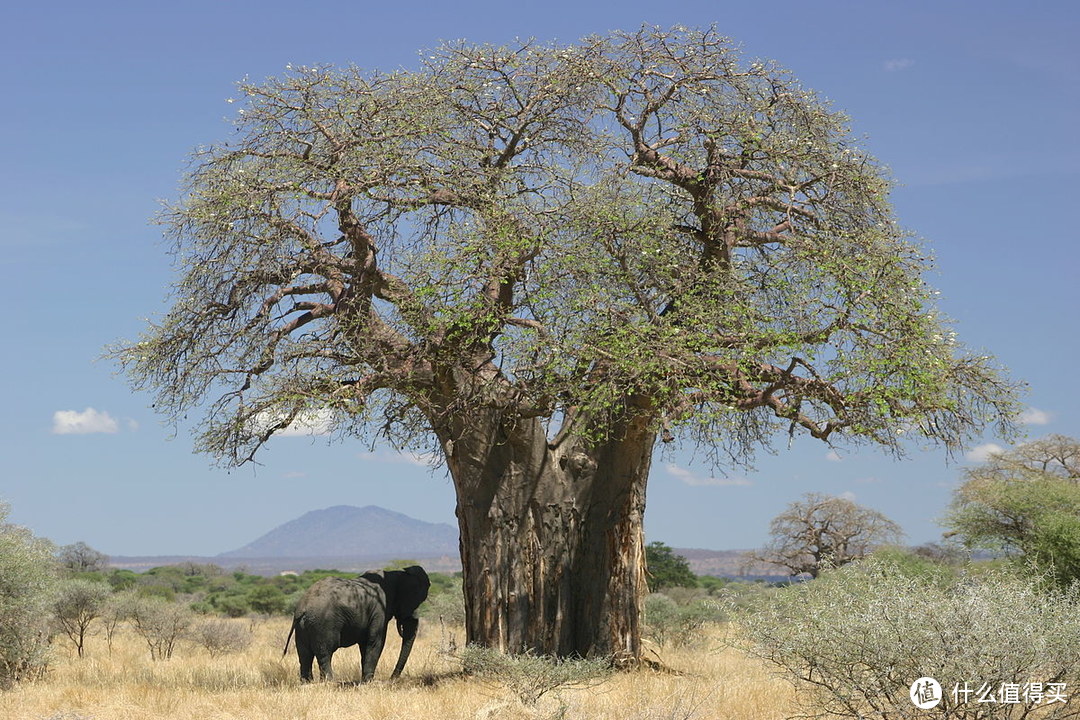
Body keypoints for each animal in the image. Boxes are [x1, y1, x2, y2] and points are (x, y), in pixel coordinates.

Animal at [282, 561, 429, 686]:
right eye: (414, 601)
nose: (391, 679)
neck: (395, 575)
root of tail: (302, 608)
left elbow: (365, 644)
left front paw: (365, 680)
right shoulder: (379, 610)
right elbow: (375, 642)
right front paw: (369, 681)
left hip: (303, 627)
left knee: (304, 654)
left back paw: (307, 683)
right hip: (322, 624)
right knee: (325, 652)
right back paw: (329, 682)